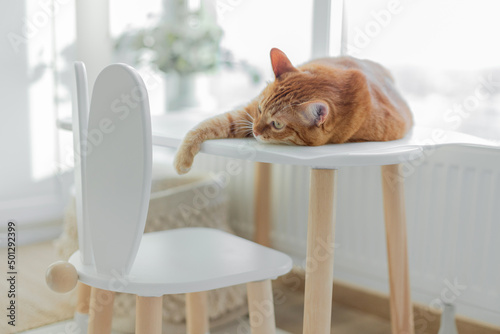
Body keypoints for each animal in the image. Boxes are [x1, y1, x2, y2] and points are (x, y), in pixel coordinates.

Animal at [174, 48, 412, 174]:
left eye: (278, 124)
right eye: (260, 109)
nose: (256, 132)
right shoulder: (246, 114)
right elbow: (207, 125)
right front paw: (182, 159)